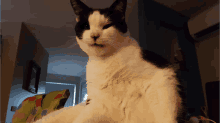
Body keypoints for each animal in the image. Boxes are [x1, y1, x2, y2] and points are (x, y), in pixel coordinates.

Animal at [34, 0, 184, 122]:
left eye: (107, 25)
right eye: (86, 26)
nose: (94, 35)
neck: (106, 61)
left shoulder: (161, 77)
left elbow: (164, 113)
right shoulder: (98, 103)